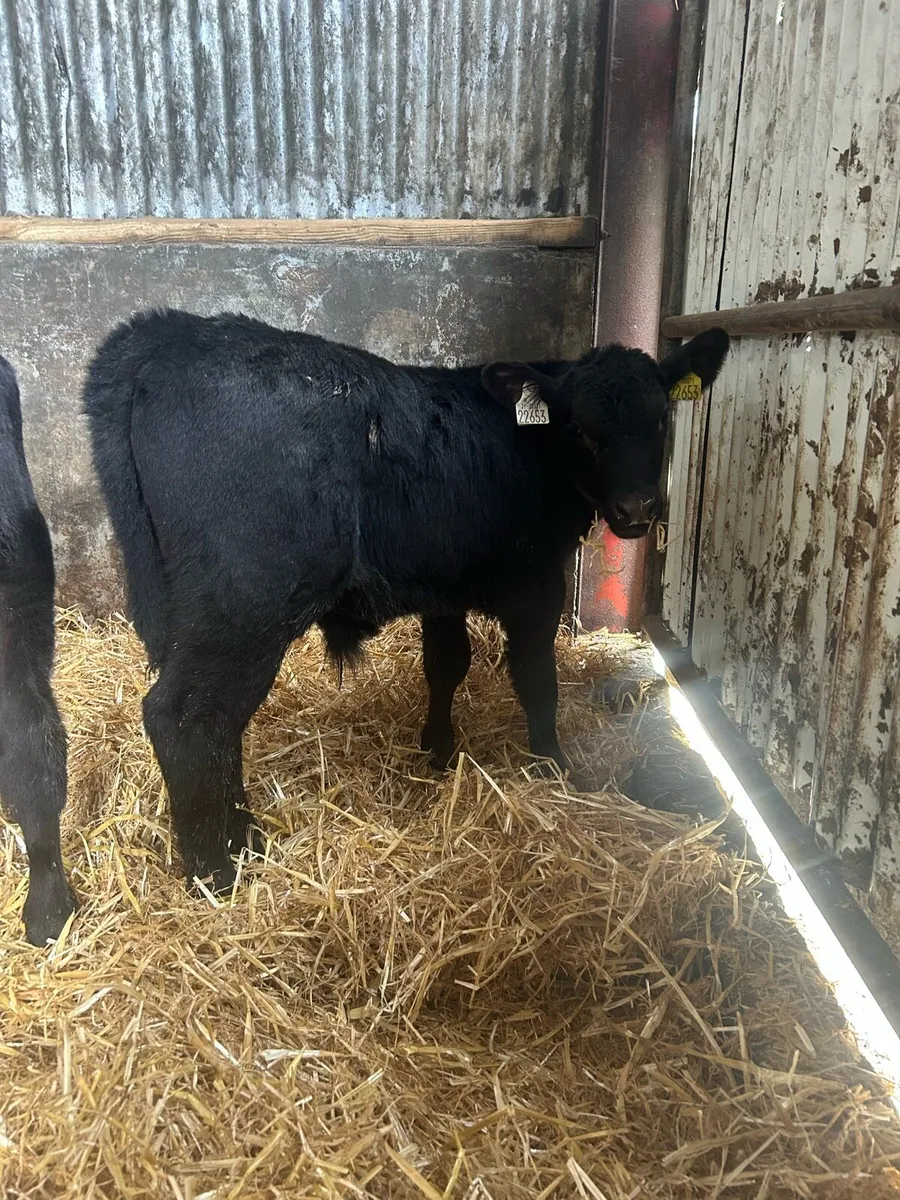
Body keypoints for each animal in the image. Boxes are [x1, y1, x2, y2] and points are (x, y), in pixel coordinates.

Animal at [84, 310, 729, 893]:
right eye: (579, 430)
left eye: (662, 417)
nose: (637, 508)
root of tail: (164, 332)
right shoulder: (535, 586)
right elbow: (535, 678)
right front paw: (551, 765)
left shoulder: (443, 587)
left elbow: (445, 665)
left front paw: (438, 751)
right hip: (243, 608)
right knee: (189, 718)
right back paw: (218, 868)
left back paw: (243, 843)